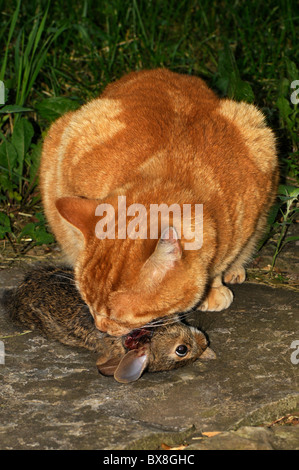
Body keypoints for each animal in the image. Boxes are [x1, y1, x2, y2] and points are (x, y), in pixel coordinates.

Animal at [39, 68, 278, 336]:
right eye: (88, 304)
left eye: (117, 317)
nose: (100, 328)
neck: (173, 172)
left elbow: (223, 259)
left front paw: (214, 286)